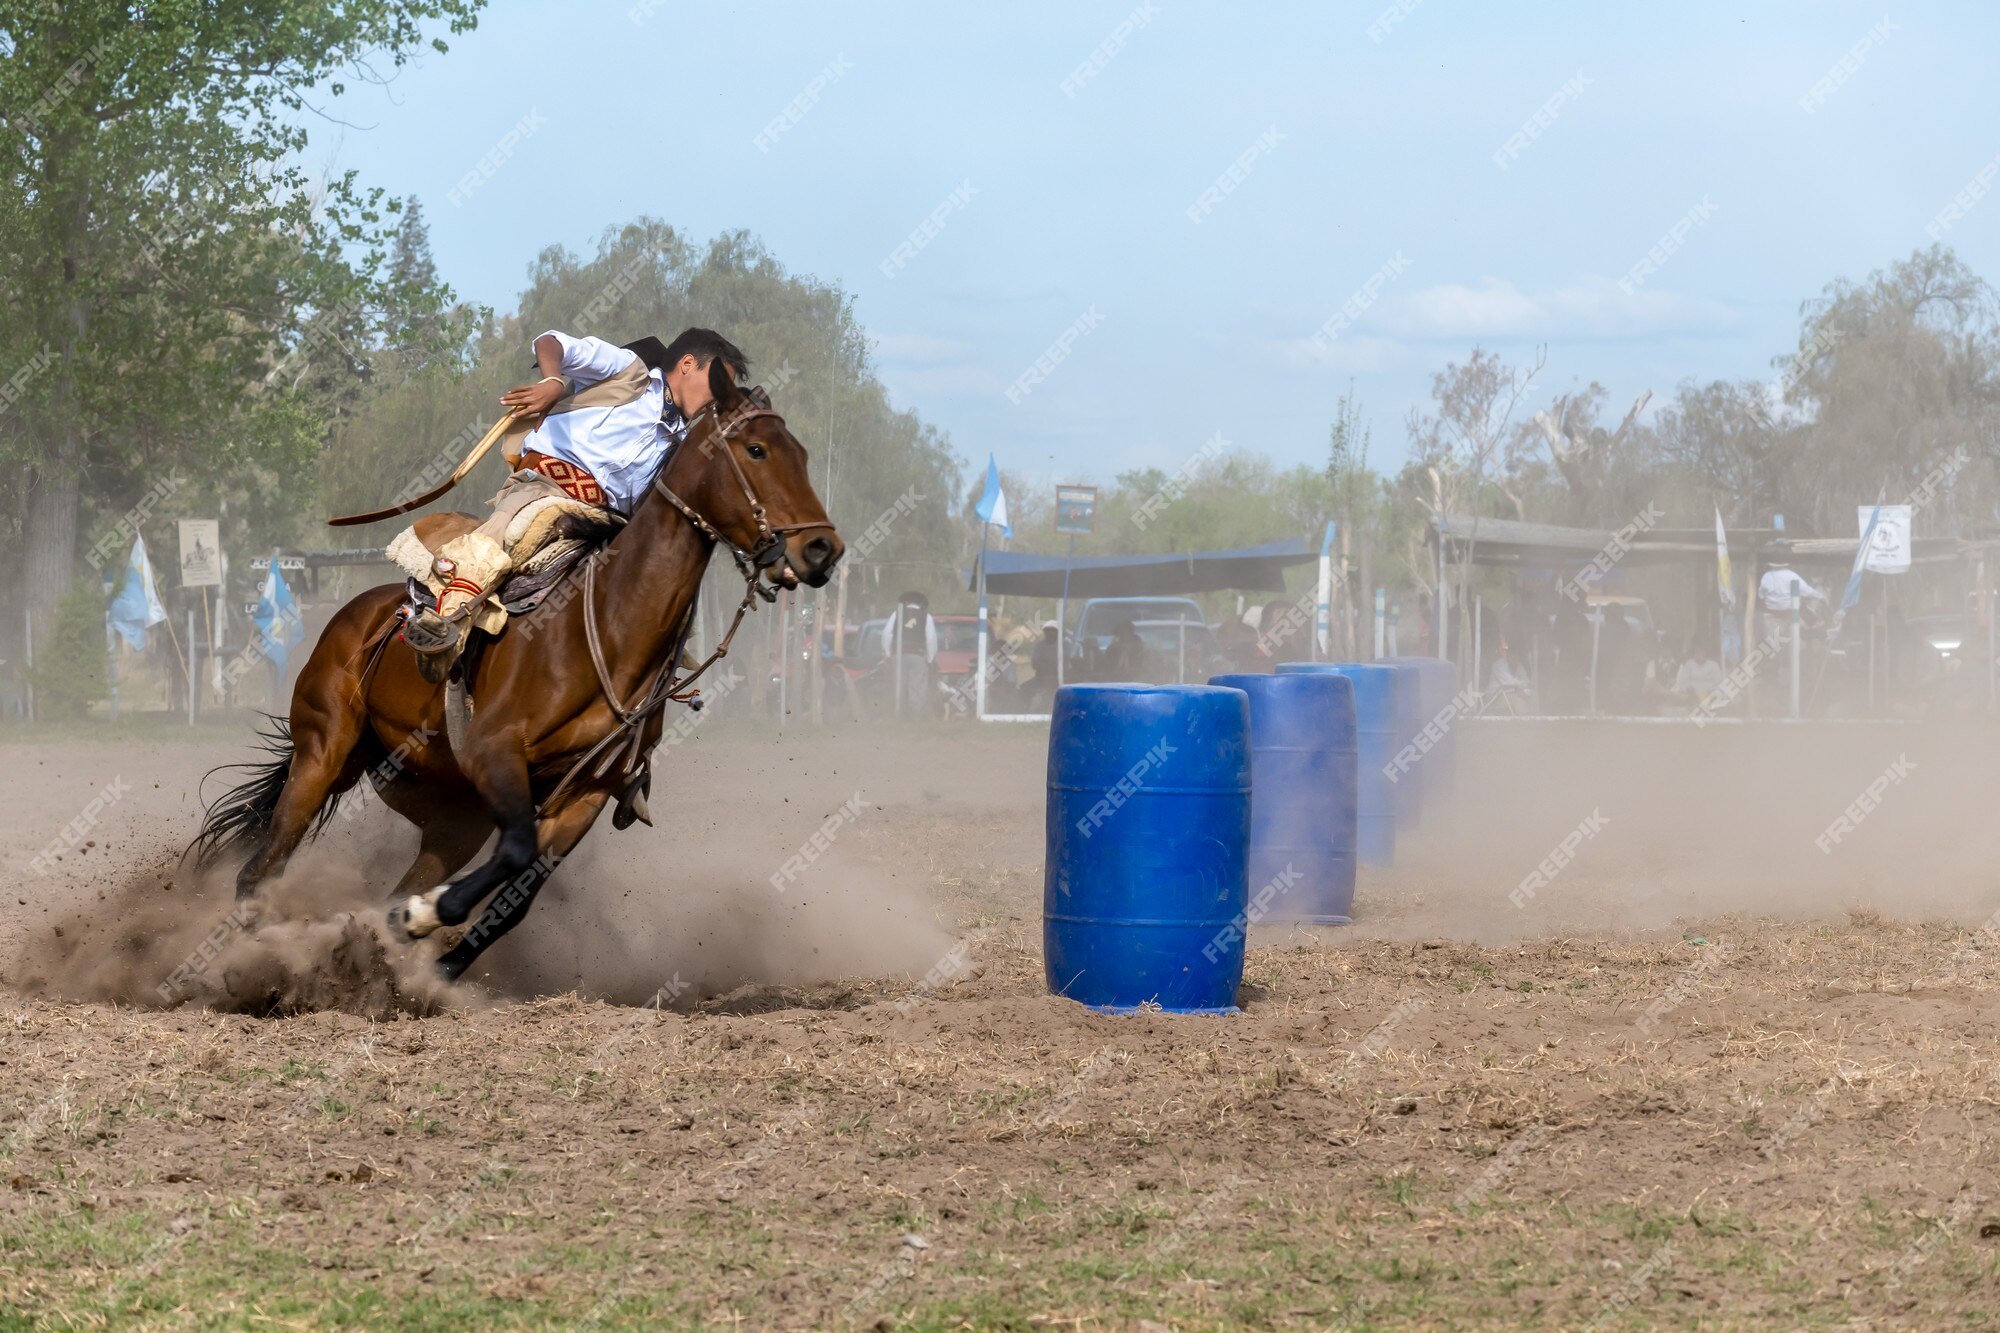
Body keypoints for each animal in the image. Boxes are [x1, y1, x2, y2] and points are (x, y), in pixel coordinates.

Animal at [191, 358, 840, 980]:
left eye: (803, 454)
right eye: (756, 450)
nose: (821, 550)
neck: (604, 626)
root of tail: (360, 610)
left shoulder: (586, 794)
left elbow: (518, 895)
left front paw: (435, 956)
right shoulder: (496, 751)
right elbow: (515, 853)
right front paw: (424, 919)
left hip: (451, 812)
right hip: (324, 751)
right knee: (261, 869)